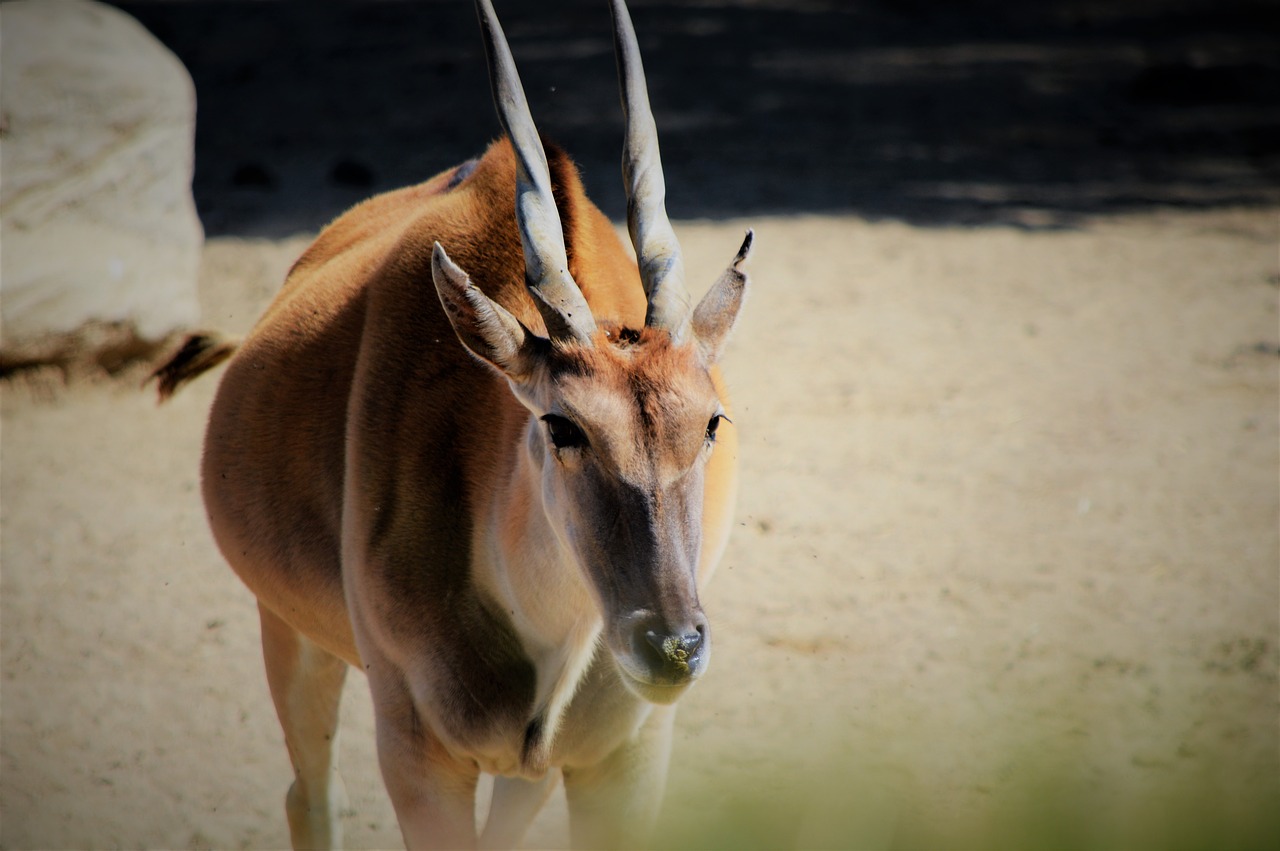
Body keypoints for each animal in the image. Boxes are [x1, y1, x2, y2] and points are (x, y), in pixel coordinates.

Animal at [152, 3, 747, 844]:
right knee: (311, 795)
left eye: (711, 422)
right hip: (291, 632)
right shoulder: (418, 755)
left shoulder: (624, 758)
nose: (672, 646)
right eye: (562, 427)